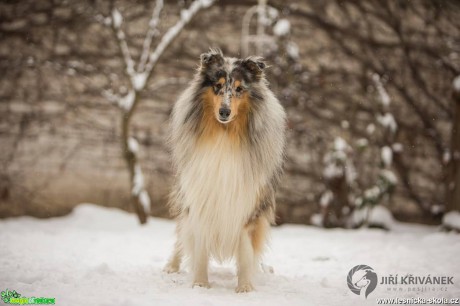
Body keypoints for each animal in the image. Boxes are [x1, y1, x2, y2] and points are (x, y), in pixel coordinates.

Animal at [164, 49, 286, 292]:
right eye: (217, 86)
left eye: (239, 89)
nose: (224, 111)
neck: (225, 135)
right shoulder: (200, 200)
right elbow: (199, 247)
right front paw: (200, 284)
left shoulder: (248, 205)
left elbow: (246, 251)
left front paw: (245, 288)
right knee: (182, 236)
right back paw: (171, 266)